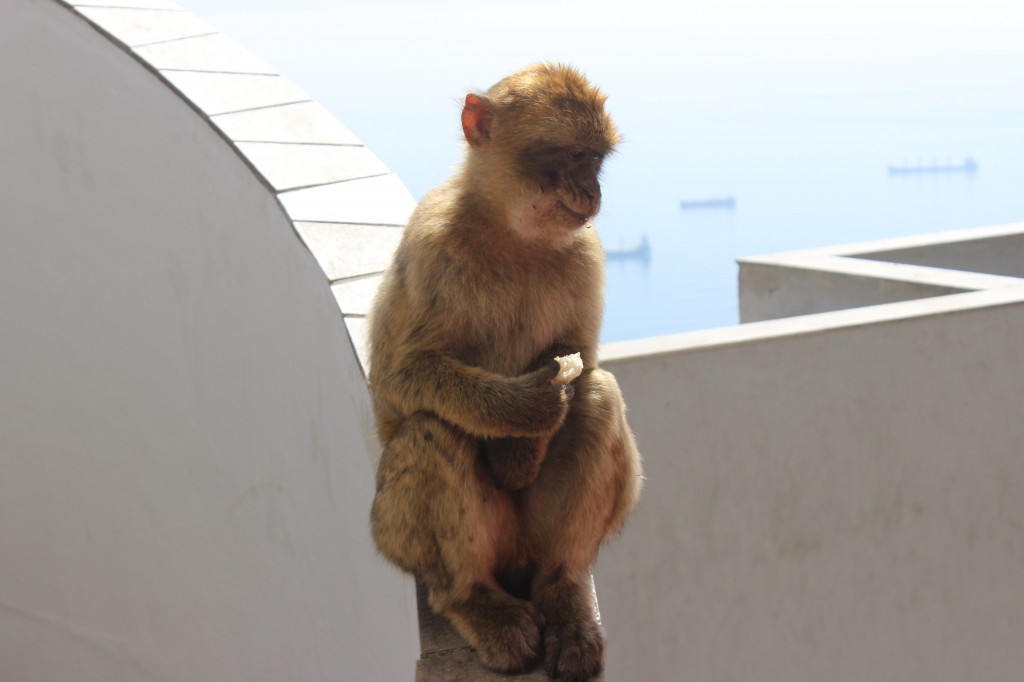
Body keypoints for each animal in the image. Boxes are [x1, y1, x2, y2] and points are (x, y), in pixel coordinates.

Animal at [368, 63, 638, 679]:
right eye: (573, 154)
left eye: (595, 159)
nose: (593, 191)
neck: (513, 234)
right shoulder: (430, 245)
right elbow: (399, 377)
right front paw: (525, 412)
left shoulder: (587, 252)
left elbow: (581, 360)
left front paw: (522, 452)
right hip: (395, 533)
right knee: (432, 430)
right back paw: (475, 602)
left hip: (532, 539)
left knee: (599, 396)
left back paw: (563, 592)